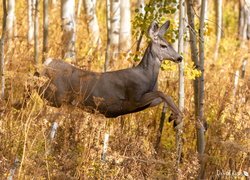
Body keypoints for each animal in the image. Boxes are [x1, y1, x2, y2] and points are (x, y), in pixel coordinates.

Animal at [27, 20, 183, 126]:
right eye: (163, 45)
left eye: (171, 44)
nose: (179, 58)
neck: (147, 77)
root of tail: (46, 64)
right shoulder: (134, 97)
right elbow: (164, 94)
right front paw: (179, 117)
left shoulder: (142, 102)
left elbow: (162, 97)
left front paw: (173, 117)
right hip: (55, 96)